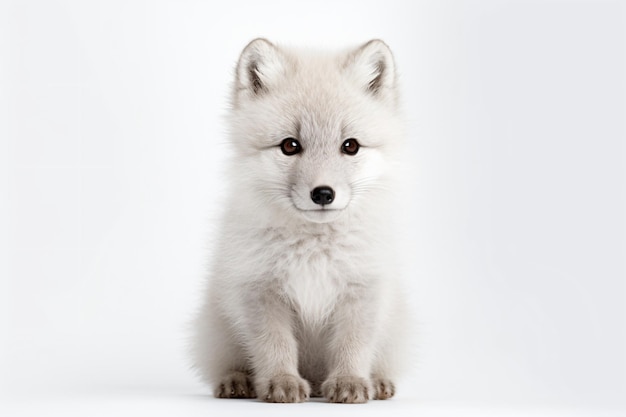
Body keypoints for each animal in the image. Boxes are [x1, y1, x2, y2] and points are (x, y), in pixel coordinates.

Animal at [190, 39, 410, 404]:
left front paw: (350, 381)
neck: (313, 249)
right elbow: (274, 346)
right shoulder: (260, 291)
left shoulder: (362, 290)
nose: (323, 194)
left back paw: (377, 382)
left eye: (350, 146)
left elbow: (353, 344)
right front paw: (282, 382)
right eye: (290, 145)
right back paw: (238, 381)